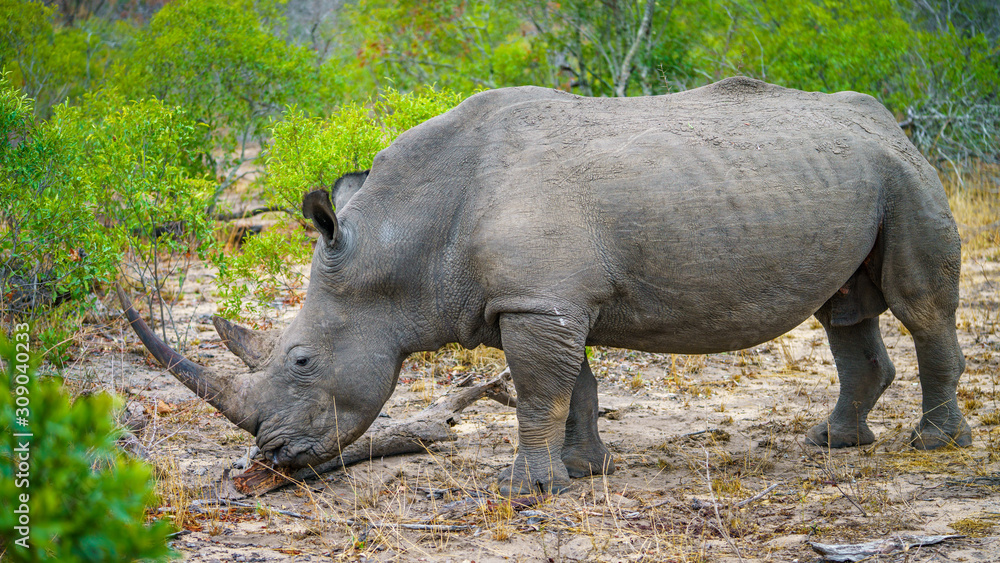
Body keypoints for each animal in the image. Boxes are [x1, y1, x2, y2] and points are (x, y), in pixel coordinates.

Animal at [122, 77, 970, 494]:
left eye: (300, 361)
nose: (271, 455)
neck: (404, 236)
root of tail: (892, 123)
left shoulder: (540, 301)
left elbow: (537, 392)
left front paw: (524, 490)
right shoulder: (548, 299)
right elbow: (577, 385)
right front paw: (587, 472)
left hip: (907, 176)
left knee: (918, 306)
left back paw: (934, 445)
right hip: (858, 173)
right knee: (845, 310)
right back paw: (834, 442)